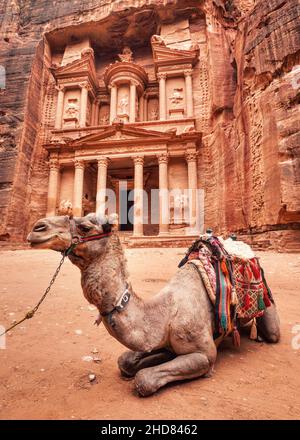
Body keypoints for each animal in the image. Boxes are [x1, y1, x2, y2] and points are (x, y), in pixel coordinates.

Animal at [26, 215, 282, 398]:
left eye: (86, 227)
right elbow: (126, 362)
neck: (164, 312)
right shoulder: (160, 340)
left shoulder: (204, 354)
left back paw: (258, 334)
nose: (38, 227)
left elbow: (143, 380)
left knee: (273, 332)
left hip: (266, 294)